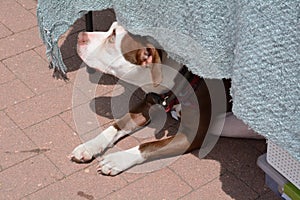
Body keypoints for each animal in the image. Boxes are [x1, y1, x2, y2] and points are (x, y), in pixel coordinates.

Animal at [70, 21, 260, 176]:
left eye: (113, 37)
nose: (80, 36)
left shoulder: (190, 135)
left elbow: (146, 145)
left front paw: (117, 159)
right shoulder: (147, 104)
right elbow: (116, 126)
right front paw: (90, 146)